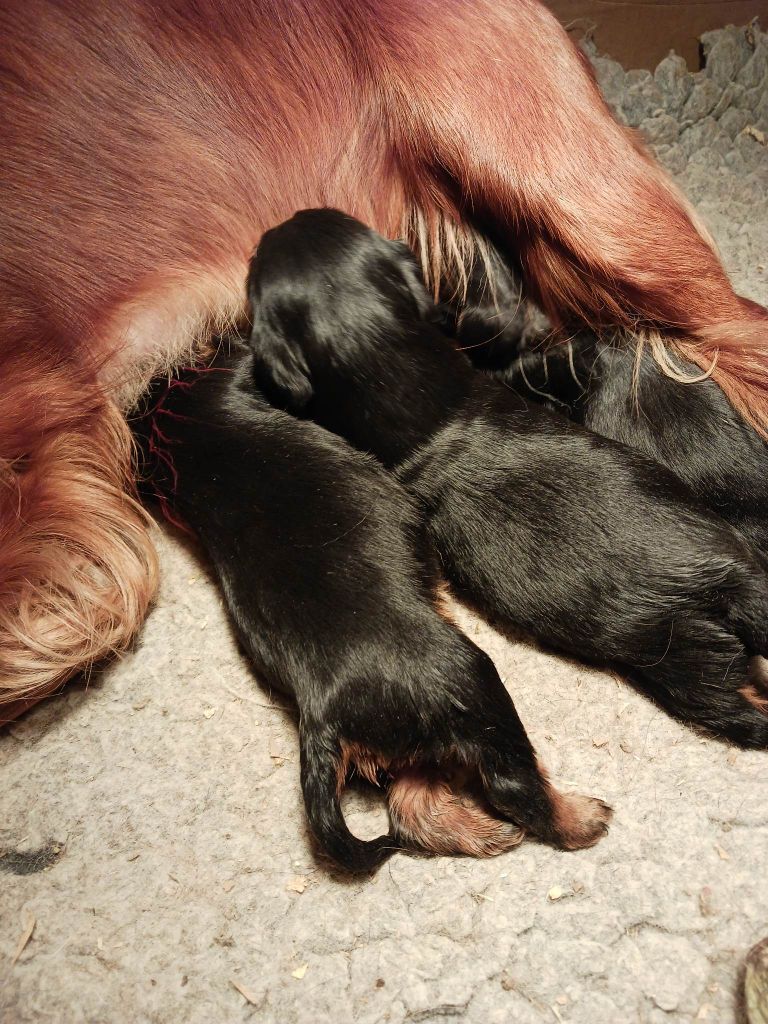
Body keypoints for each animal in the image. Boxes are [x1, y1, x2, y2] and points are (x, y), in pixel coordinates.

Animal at [131, 350, 612, 871]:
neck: (193, 434)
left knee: (413, 810)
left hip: (415, 746)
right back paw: (581, 820)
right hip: (471, 689)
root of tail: (323, 715)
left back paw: (486, 835)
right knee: (511, 786)